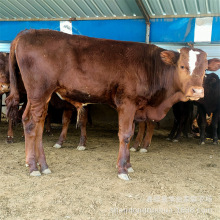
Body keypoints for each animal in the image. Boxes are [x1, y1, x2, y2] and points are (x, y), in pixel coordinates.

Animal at [6, 29, 218, 180]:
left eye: (204, 69)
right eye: (182, 66)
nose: (197, 91)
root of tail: (28, 31)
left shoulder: (136, 107)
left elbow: (131, 133)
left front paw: (129, 165)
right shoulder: (127, 102)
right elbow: (125, 135)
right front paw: (122, 169)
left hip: (40, 96)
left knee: (37, 123)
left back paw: (42, 166)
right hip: (39, 91)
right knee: (30, 123)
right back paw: (33, 167)